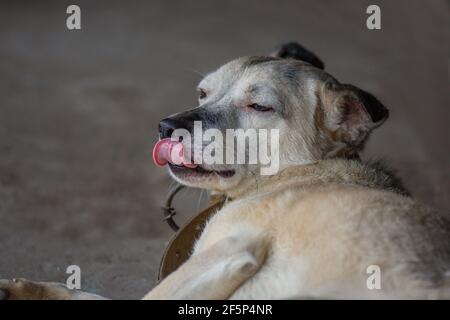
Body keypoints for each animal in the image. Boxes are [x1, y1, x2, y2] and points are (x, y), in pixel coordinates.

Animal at [0, 42, 450, 300]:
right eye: (202, 92)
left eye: (260, 107)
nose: (166, 126)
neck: (304, 170)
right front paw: (27, 290)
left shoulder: (230, 248)